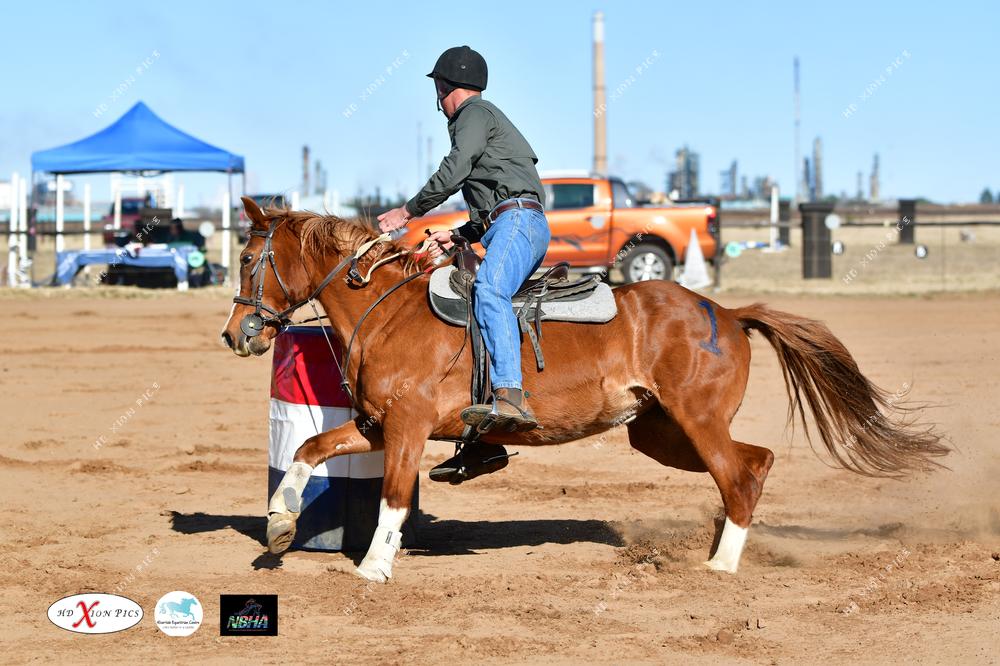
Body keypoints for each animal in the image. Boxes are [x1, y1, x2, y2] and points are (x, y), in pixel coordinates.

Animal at [219, 196, 944, 580]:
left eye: (250, 258)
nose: (235, 334)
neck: (389, 309)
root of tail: (727, 313)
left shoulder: (408, 429)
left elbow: (394, 498)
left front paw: (373, 567)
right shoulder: (374, 426)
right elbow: (308, 452)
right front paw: (279, 527)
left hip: (698, 421)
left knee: (739, 473)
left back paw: (720, 564)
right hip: (660, 433)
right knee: (755, 462)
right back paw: (720, 545)